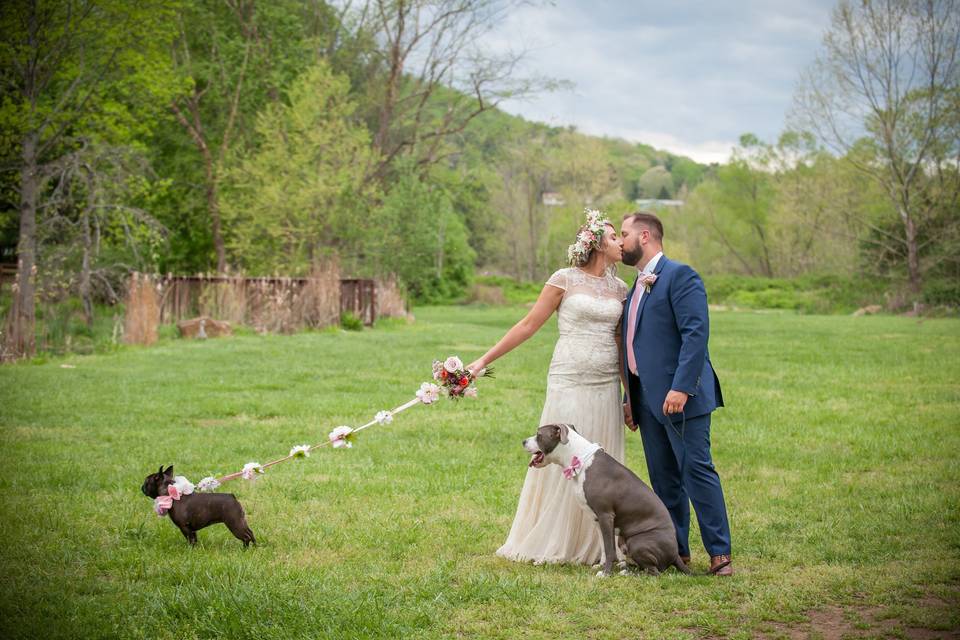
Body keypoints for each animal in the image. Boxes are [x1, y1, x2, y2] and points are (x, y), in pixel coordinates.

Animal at [524, 422, 688, 576]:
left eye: (539, 435)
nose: (523, 441)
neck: (580, 460)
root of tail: (676, 555)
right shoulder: (597, 519)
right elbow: (604, 546)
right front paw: (601, 566)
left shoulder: (606, 515)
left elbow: (609, 549)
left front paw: (606, 573)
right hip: (623, 539)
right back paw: (625, 568)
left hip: (637, 541)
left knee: (654, 572)